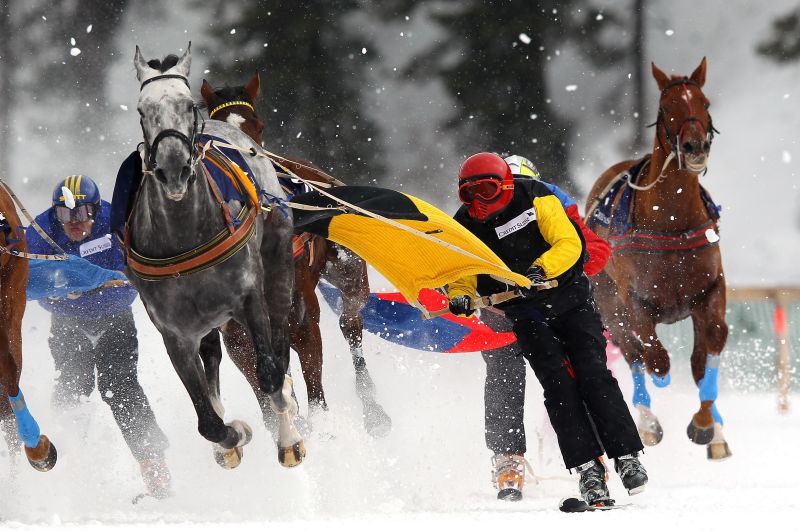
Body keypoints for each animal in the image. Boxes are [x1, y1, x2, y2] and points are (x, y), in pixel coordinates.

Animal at [126, 46, 304, 470]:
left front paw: (287, 432)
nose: (172, 168)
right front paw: (232, 436)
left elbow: (271, 375)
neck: (184, 238)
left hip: (278, 270)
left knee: (280, 345)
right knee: (213, 358)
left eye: (187, 105)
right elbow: (207, 421)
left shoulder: (248, 297)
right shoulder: (175, 334)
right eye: (142, 111)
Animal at [200, 76, 394, 440]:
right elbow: (266, 399)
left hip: (348, 271)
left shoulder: (302, 317)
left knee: (351, 323)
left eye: (257, 127)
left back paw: (374, 411)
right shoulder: (237, 337)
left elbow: (315, 389)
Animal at [588, 58, 732, 464]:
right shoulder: (635, 300)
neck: (672, 221)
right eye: (667, 108)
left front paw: (707, 425)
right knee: (634, 352)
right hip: (608, 302)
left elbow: (709, 349)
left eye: (705, 103)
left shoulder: (709, 289)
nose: (695, 146)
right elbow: (655, 359)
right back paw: (648, 421)